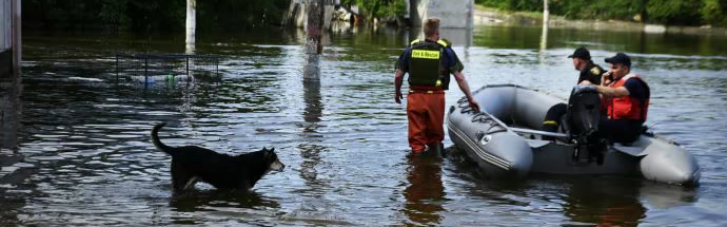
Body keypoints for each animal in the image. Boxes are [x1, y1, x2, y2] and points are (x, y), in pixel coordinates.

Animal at [151, 123, 284, 192]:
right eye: (276, 159)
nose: (284, 166)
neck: (253, 164)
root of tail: (176, 150)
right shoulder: (242, 190)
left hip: (191, 181)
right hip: (181, 180)